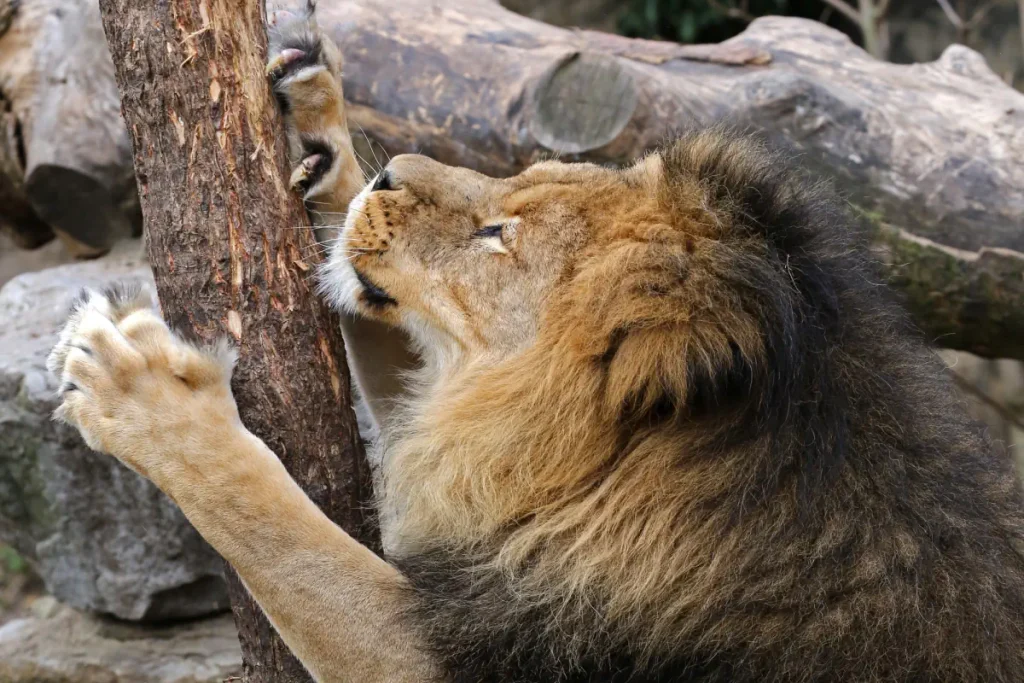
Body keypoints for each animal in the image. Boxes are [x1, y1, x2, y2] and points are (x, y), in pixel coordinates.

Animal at [44, 5, 1024, 683]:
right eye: (516, 173)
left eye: (498, 234)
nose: (391, 170)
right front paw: (324, 136)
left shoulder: (468, 652)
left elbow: (278, 527)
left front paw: (147, 397)